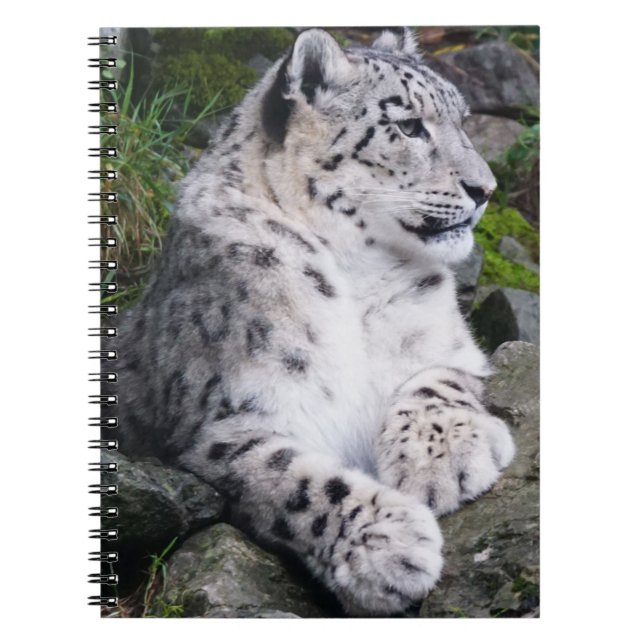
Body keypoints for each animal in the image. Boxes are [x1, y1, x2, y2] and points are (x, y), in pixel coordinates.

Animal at [111, 27, 515, 616]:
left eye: (463, 120)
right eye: (409, 125)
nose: (485, 189)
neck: (359, 276)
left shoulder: (451, 347)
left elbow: (436, 382)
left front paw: (442, 460)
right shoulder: (225, 424)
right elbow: (296, 483)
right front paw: (388, 545)